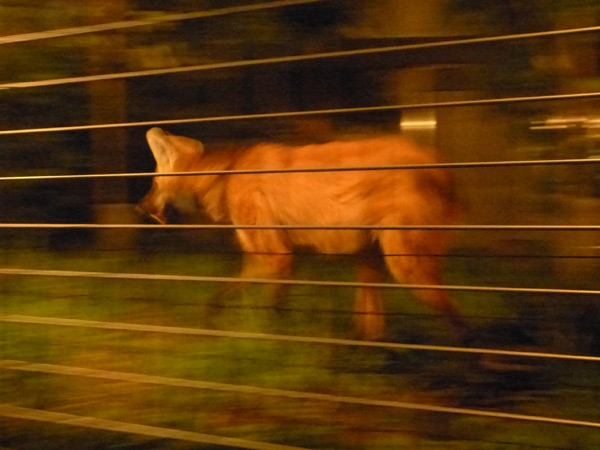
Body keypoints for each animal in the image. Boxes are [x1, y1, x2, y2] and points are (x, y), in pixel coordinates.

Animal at [138, 128, 466, 340]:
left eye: (152, 184)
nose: (138, 207)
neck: (225, 176)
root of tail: (442, 164)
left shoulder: (276, 256)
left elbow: (270, 307)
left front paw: (273, 340)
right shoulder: (267, 257)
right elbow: (223, 297)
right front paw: (209, 322)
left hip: (405, 263)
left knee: (457, 320)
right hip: (370, 255)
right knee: (374, 323)